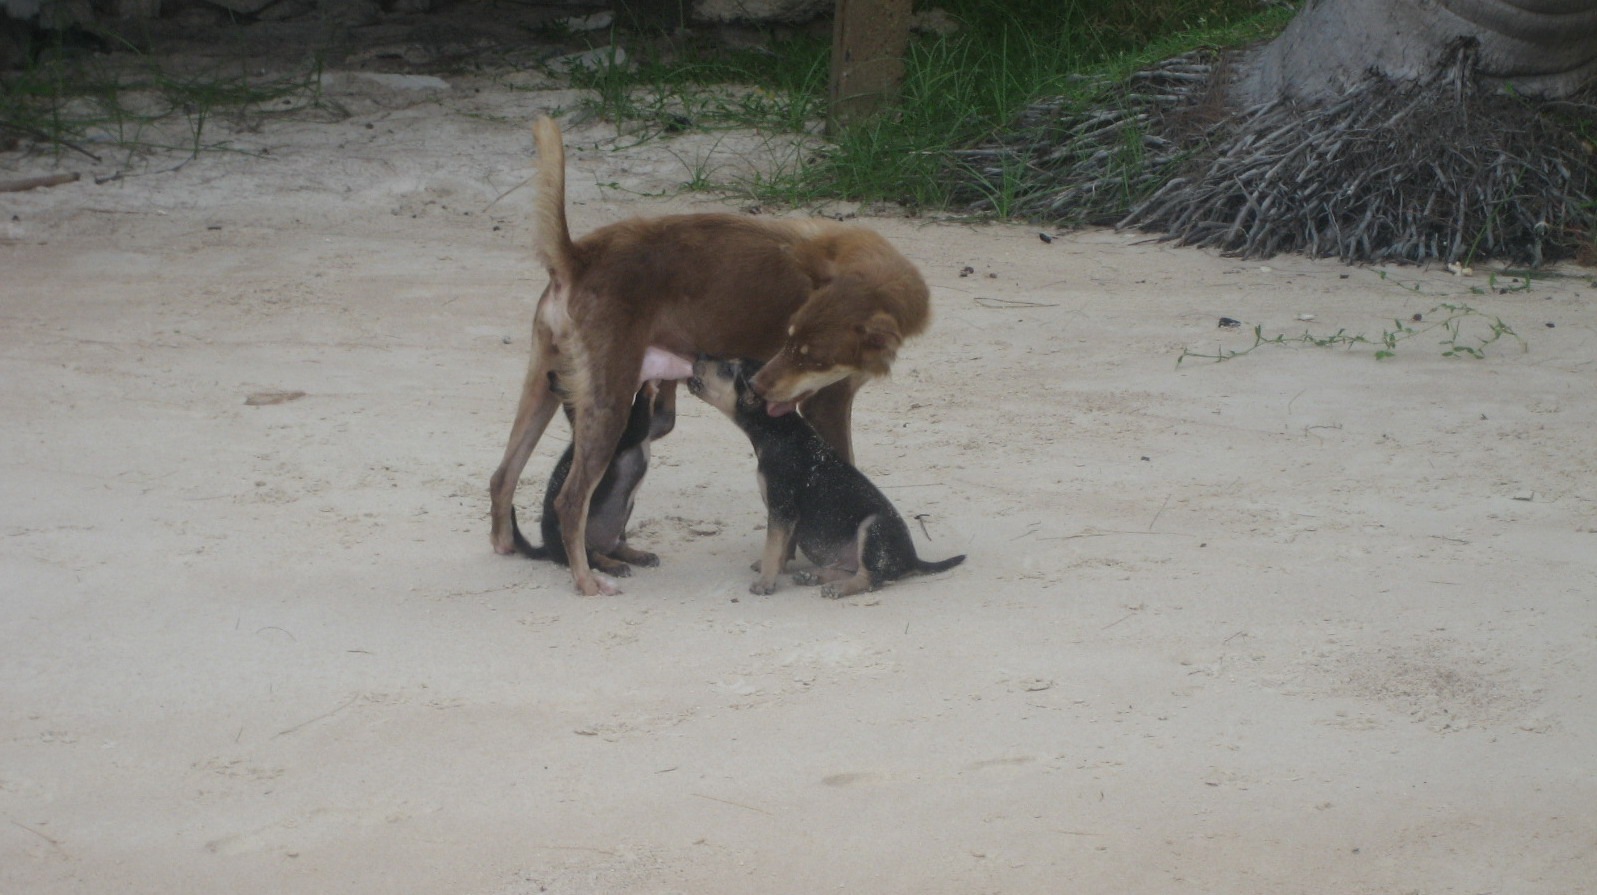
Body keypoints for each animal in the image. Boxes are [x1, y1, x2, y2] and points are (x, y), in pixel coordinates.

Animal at [512, 373, 670, 577]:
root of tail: (546, 547)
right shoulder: (632, 432)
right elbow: (642, 405)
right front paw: (649, 385)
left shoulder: (659, 423)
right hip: (573, 536)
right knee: (593, 557)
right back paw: (613, 565)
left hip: (618, 531)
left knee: (617, 547)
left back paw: (639, 555)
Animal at [687, 356, 965, 598]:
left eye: (727, 370)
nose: (697, 357)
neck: (778, 430)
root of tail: (912, 560)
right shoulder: (785, 515)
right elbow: (782, 548)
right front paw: (775, 569)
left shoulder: (781, 508)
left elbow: (773, 547)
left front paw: (764, 582)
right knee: (851, 569)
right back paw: (814, 576)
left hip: (873, 528)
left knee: (871, 578)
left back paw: (837, 588)